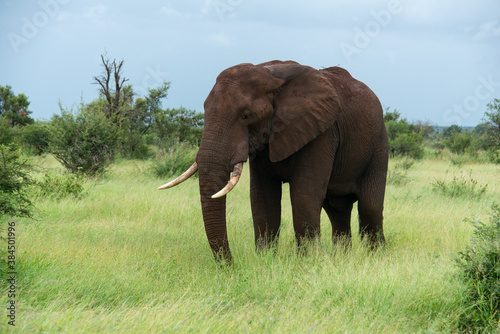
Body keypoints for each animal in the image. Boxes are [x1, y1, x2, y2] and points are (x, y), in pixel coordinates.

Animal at [158, 61, 388, 262]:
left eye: (246, 116)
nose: (231, 265)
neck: (270, 75)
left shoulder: (321, 132)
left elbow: (304, 195)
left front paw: (306, 263)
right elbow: (263, 199)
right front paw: (266, 260)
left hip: (378, 144)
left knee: (369, 207)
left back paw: (375, 258)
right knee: (336, 209)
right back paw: (342, 257)